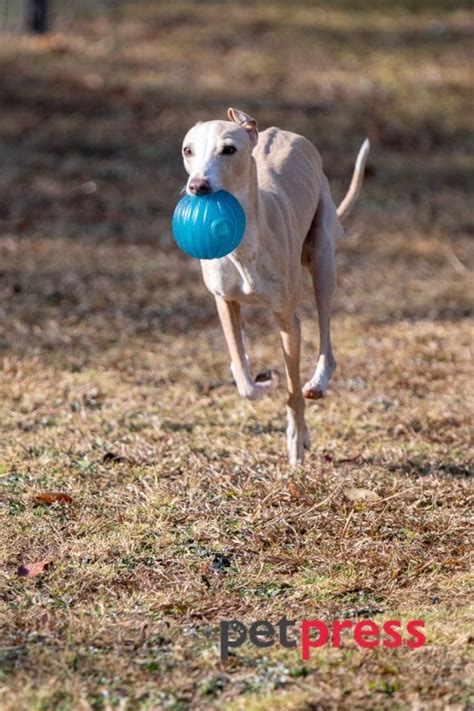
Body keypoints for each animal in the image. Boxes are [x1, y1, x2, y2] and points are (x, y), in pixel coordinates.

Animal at [180, 108, 368, 464]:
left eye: (229, 149)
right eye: (188, 150)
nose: (198, 186)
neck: (243, 246)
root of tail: (284, 132)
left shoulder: (288, 321)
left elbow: (293, 391)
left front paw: (296, 440)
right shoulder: (225, 302)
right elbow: (243, 375)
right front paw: (263, 381)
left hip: (323, 259)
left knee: (325, 339)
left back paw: (318, 383)